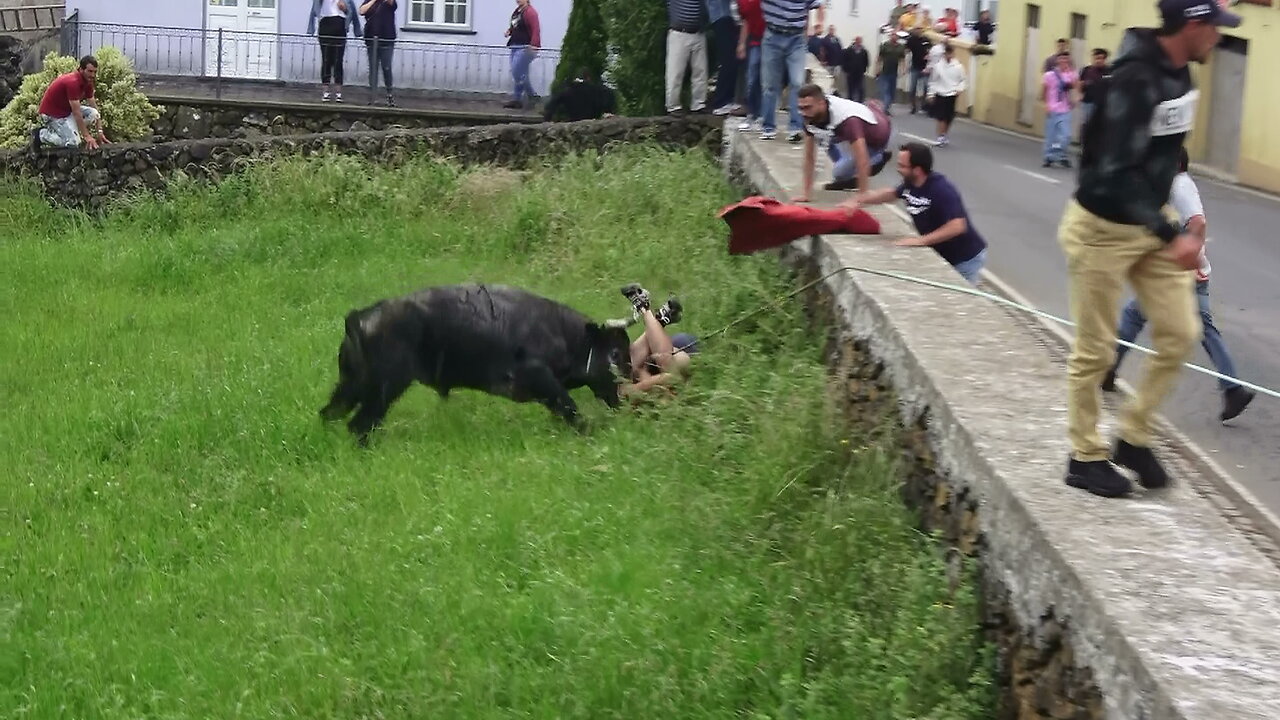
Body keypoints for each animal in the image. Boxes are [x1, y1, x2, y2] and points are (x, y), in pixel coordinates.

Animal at [320, 281, 634, 440]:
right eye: (616, 353)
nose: (631, 381)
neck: (565, 335)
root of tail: (359, 318)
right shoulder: (542, 379)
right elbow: (569, 407)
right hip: (383, 390)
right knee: (360, 424)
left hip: (351, 388)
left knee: (330, 414)